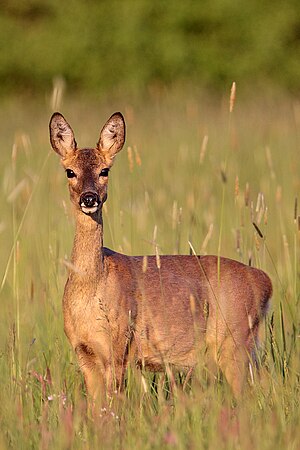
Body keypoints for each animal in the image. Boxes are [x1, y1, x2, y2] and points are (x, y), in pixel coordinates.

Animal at [49, 110, 272, 402]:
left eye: (104, 171)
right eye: (70, 172)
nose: (89, 198)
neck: (91, 286)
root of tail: (265, 281)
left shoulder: (119, 346)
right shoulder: (83, 351)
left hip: (235, 340)